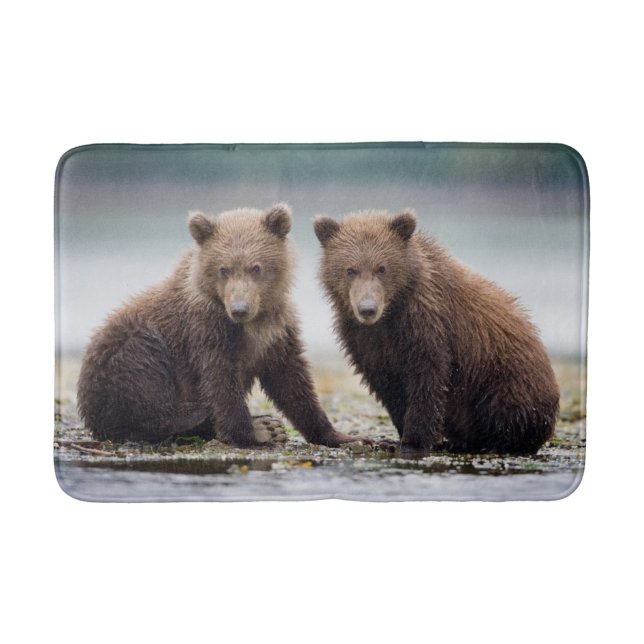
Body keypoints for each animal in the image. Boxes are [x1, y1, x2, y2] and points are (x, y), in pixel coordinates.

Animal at [77, 203, 361, 448]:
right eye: (223, 269)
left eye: (256, 267)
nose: (239, 308)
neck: (252, 321)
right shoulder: (207, 329)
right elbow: (219, 380)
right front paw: (251, 433)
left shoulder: (277, 329)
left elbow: (291, 379)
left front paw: (338, 435)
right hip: (122, 354)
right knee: (143, 379)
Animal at [313, 209, 560, 455]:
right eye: (350, 269)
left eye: (382, 268)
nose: (367, 309)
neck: (391, 313)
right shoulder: (362, 338)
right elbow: (388, 384)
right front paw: (394, 437)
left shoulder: (427, 324)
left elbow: (427, 379)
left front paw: (412, 441)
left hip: (505, 377)